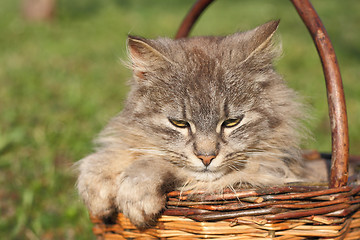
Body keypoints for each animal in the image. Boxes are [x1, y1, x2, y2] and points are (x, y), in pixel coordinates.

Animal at [75, 20, 306, 229]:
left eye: (232, 122)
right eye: (179, 123)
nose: (207, 157)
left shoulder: (265, 173)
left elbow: (153, 163)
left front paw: (134, 197)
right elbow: (107, 157)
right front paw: (98, 195)